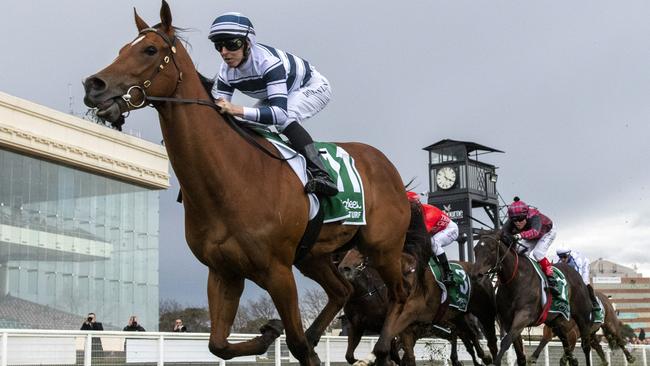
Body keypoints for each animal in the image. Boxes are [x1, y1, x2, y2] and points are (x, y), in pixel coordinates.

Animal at [82, 3, 410, 366]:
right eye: (121, 49)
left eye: (150, 50)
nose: (93, 85)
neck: (231, 180)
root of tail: (385, 163)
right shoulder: (223, 271)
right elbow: (219, 344)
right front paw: (269, 332)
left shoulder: (278, 271)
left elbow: (296, 344)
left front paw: (284, 335)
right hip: (314, 256)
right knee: (343, 290)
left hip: (383, 248)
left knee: (400, 295)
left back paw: (383, 346)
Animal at [336, 246, 494, 366]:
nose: (344, 268)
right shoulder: (356, 325)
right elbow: (349, 356)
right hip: (456, 317)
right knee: (467, 336)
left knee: (469, 336)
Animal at [468, 233, 596, 366]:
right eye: (475, 250)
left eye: (492, 249)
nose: (475, 275)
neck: (516, 280)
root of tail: (577, 275)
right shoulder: (508, 321)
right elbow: (519, 354)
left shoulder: (524, 316)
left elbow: (506, 341)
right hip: (556, 320)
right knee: (566, 344)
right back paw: (572, 360)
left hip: (582, 316)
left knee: (586, 346)